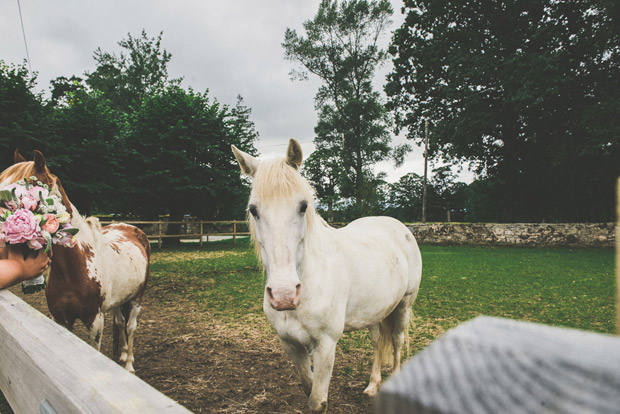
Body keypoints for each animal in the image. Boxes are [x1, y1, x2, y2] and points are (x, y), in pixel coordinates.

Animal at [0, 150, 150, 372]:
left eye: (16, 190)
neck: (76, 267)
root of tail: (133, 229)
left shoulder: (95, 321)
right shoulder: (62, 318)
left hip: (137, 298)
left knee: (131, 326)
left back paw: (129, 364)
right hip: (120, 298)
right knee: (120, 321)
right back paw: (122, 354)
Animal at [231, 141, 422, 412]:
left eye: (303, 206)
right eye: (253, 209)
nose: (284, 294)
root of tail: (399, 226)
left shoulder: (325, 346)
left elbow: (317, 401)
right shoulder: (291, 346)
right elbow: (308, 388)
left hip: (404, 304)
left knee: (397, 341)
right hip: (375, 311)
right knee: (376, 341)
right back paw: (372, 385)